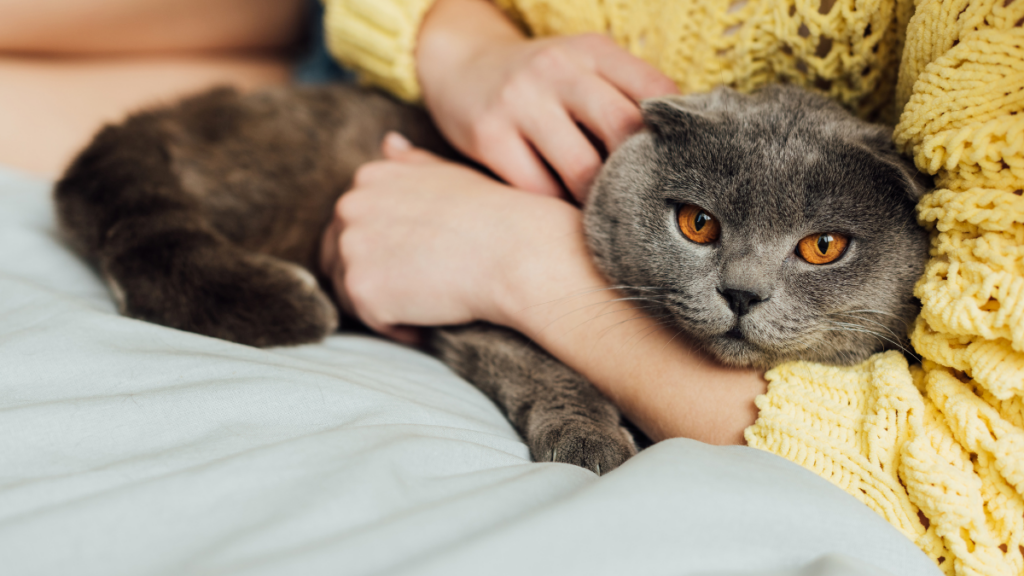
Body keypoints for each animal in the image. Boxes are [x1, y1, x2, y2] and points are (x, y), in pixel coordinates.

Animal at [51, 83, 929, 473]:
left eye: (823, 246)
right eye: (699, 225)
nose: (741, 293)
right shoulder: (465, 310)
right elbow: (547, 364)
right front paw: (590, 438)